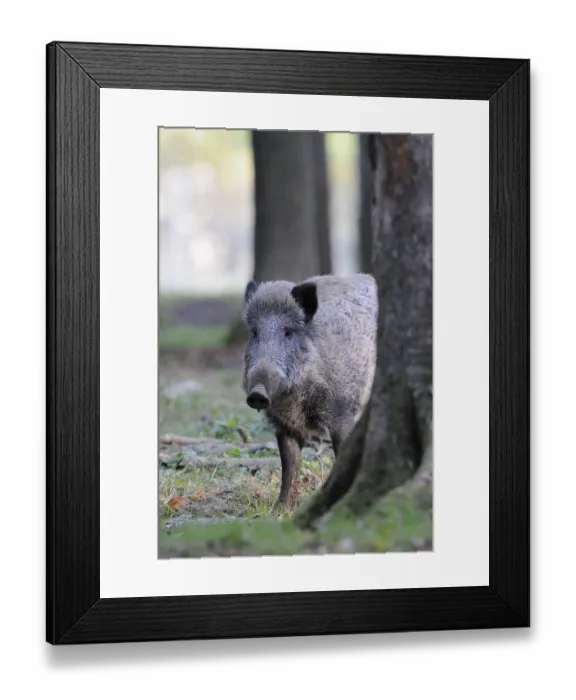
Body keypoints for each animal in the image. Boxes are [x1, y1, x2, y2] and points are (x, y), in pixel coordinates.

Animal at [242, 273, 378, 511]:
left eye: (288, 332)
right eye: (254, 333)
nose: (257, 394)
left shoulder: (343, 413)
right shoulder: (283, 425)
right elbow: (290, 465)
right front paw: (280, 510)